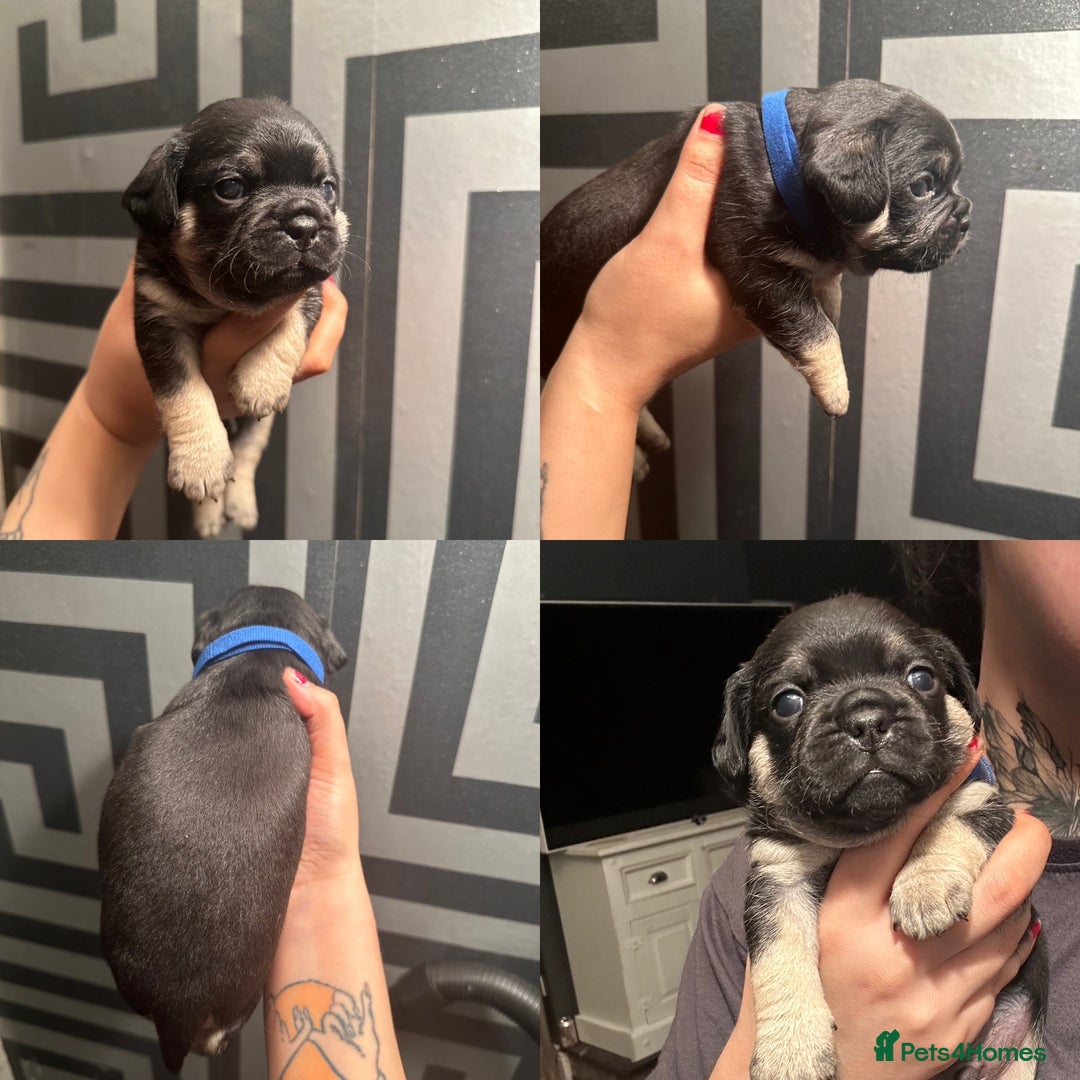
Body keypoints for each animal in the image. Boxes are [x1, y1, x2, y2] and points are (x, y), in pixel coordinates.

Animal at [122, 97, 349, 536]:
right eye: (230, 188)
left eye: (327, 188)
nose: (305, 223)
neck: (228, 301)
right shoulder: (160, 320)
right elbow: (184, 390)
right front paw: (201, 461)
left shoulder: (311, 293)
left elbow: (290, 325)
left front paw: (261, 380)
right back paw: (209, 513)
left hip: (261, 427)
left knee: (245, 456)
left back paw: (240, 505)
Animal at [541, 80, 971, 479]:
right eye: (922, 186)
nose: (966, 214)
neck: (789, 177)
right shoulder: (759, 275)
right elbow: (816, 331)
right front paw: (836, 390)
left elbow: (827, 295)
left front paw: (831, 304)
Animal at [714, 595, 1047, 1080]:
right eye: (787, 702)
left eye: (922, 678)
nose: (867, 719)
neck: (865, 828)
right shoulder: (778, 878)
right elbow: (780, 957)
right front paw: (790, 1047)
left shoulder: (981, 800)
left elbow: (949, 824)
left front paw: (925, 886)